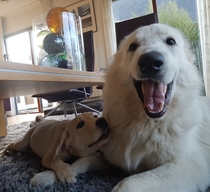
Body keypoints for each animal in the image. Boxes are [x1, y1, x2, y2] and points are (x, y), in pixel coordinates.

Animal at [102, 22, 210, 192]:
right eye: (132, 46)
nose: (150, 61)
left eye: (170, 41)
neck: (149, 123)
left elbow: (128, 183)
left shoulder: (190, 164)